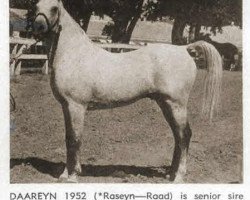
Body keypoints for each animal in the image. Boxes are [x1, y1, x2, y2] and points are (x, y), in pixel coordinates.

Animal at [32, 0, 222, 183]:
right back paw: (170, 174)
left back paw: (179, 177)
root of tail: (184, 49)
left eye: (54, 8)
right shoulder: (66, 107)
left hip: (176, 105)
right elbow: (68, 138)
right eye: (36, 6)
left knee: (184, 136)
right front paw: (65, 174)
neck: (74, 55)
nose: (38, 27)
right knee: (177, 136)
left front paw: (72, 176)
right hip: (165, 104)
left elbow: (75, 139)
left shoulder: (76, 106)